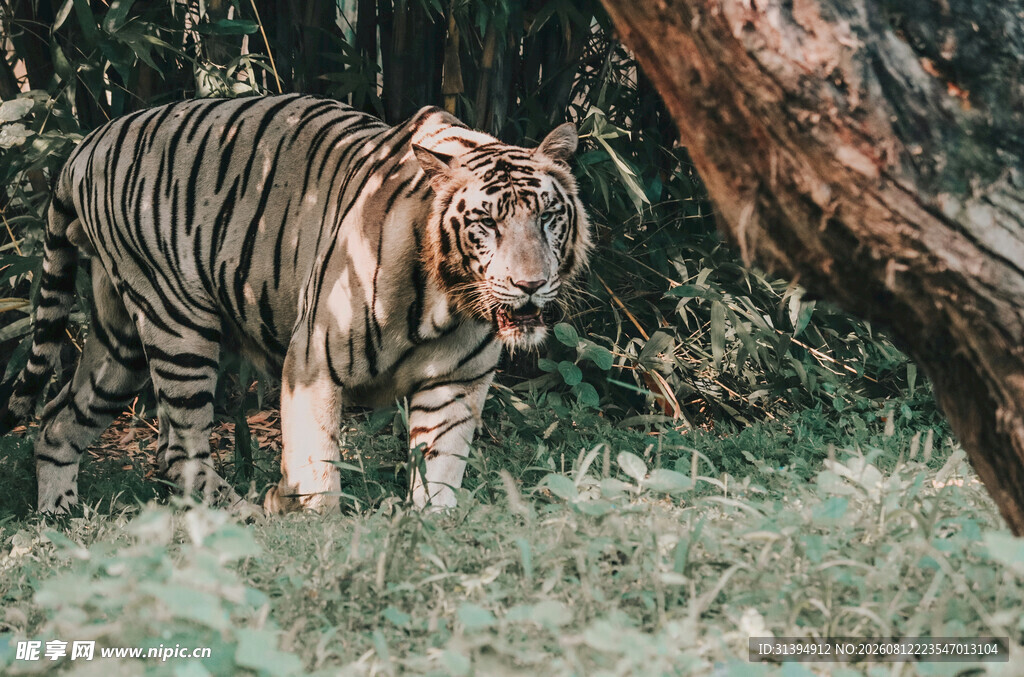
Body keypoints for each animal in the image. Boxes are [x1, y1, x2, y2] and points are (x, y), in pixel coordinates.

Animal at [0, 93, 591, 515]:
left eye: (547, 217)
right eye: (486, 224)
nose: (531, 284)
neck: (447, 307)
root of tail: (86, 145)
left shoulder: (456, 384)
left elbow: (441, 471)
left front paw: (433, 528)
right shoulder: (313, 361)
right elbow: (316, 467)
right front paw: (312, 530)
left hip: (118, 345)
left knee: (58, 422)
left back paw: (58, 518)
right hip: (177, 324)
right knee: (178, 450)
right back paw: (238, 515)